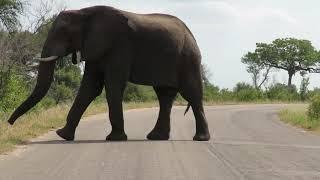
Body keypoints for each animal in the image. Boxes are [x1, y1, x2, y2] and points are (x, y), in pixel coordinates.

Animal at [6, 5, 210, 141]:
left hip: (188, 58)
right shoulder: (95, 48)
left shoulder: (119, 47)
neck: (84, 12)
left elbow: (112, 86)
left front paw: (115, 138)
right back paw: (156, 137)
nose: (9, 123)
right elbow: (90, 88)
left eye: (64, 32)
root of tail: (191, 34)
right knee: (164, 96)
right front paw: (63, 135)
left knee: (192, 94)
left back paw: (200, 138)